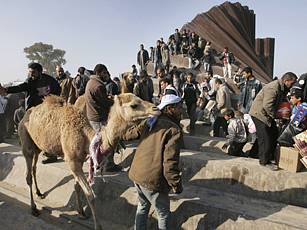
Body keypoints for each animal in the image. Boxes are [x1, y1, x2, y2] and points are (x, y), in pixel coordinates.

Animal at [18, 93, 161, 230]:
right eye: (134, 105)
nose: (156, 109)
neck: (85, 136)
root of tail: (26, 114)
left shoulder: (80, 160)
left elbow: (77, 187)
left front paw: (81, 212)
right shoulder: (72, 161)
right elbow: (90, 194)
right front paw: (98, 226)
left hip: (37, 146)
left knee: (34, 168)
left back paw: (39, 193)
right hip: (26, 142)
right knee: (28, 174)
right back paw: (33, 208)